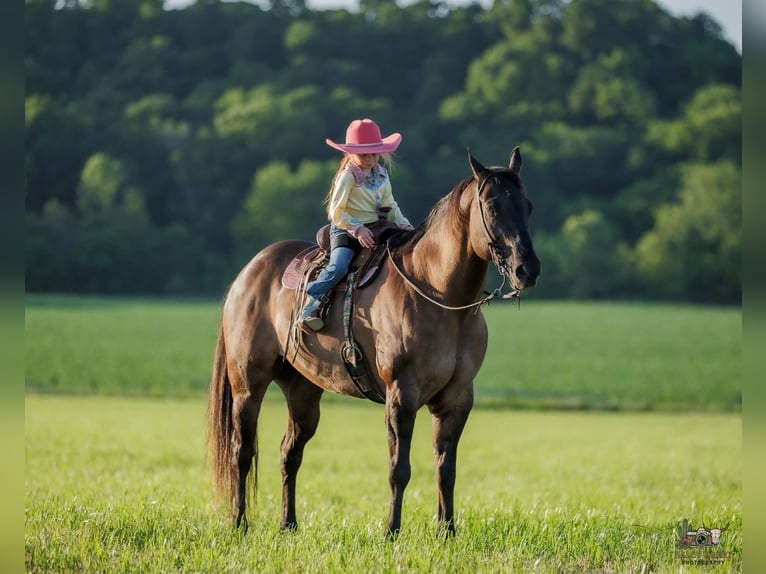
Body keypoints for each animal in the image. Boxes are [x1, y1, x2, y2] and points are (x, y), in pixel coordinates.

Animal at [207, 147, 541, 537]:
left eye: (527, 205)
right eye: (491, 206)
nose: (527, 270)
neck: (438, 295)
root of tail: (247, 274)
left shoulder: (457, 399)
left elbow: (446, 469)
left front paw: (447, 531)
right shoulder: (401, 396)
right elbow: (400, 469)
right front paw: (391, 531)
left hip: (303, 391)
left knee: (289, 453)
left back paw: (288, 524)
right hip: (248, 386)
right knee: (241, 452)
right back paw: (239, 524)